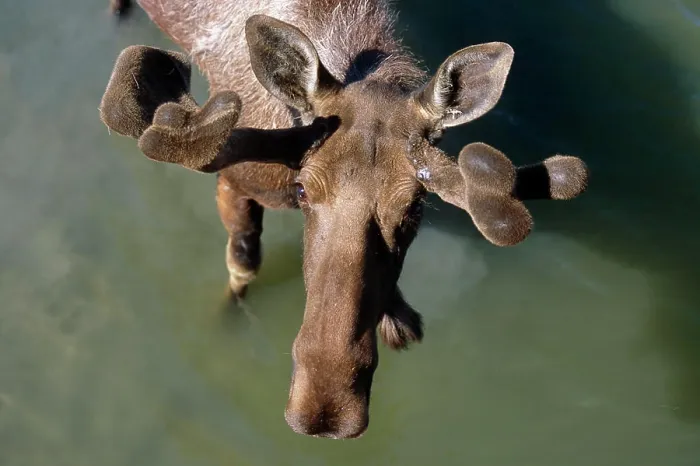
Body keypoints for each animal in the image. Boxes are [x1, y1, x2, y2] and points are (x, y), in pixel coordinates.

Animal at [99, 0, 589, 439]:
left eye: (415, 207)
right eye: (302, 189)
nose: (324, 412)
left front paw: (398, 318)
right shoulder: (235, 181)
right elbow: (242, 263)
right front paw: (224, 317)